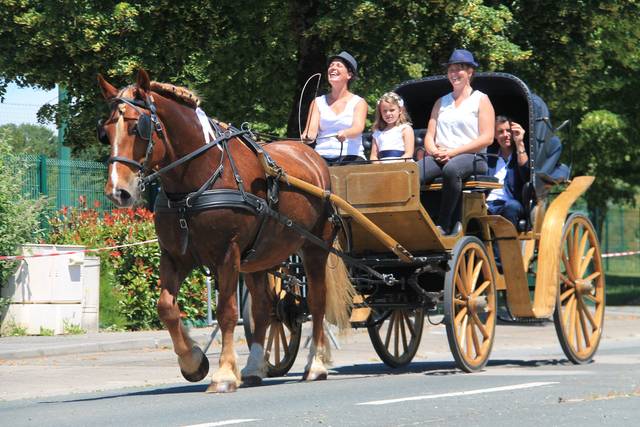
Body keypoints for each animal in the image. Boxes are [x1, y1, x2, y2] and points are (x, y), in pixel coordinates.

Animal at [97, 70, 352, 394]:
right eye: (105, 132)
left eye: (137, 127)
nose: (118, 191)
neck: (196, 182)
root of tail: (311, 154)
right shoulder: (175, 256)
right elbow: (166, 307)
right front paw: (193, 362)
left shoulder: (227, 254)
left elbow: (227, 313)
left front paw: (225, 374)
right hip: (259, 258)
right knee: (263, 309)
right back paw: (255, 367)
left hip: (315, 249)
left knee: (317, 303)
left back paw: (315, 364)